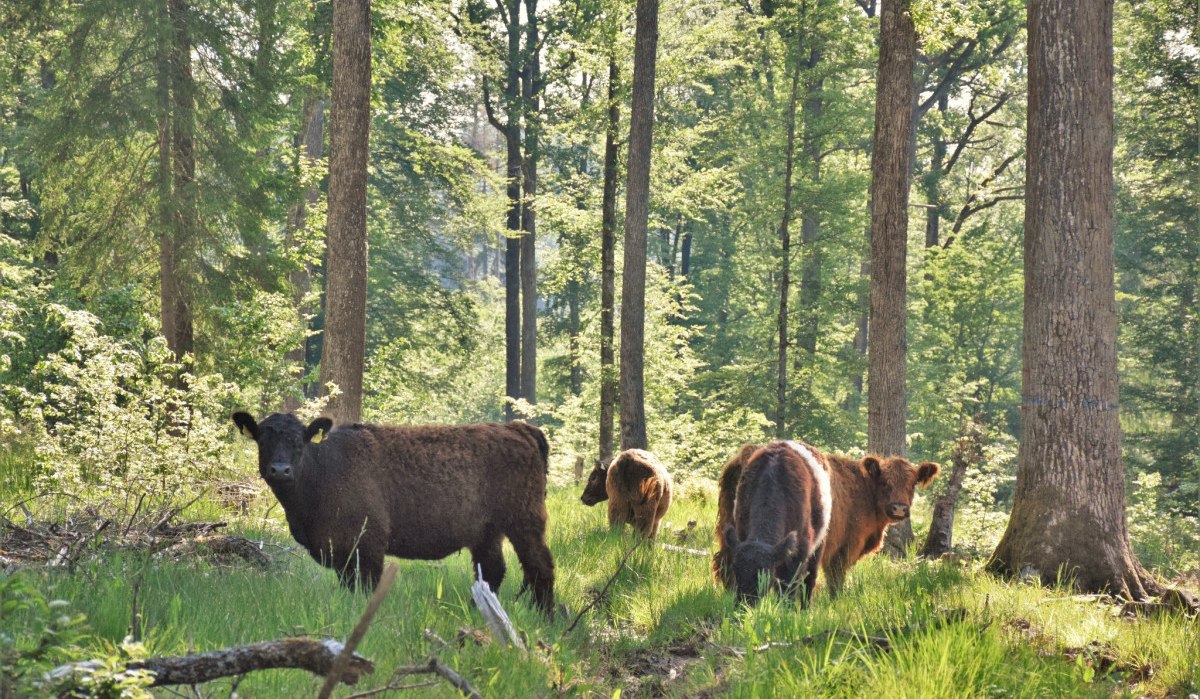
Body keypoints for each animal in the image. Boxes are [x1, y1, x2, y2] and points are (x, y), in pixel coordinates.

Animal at [231, 411, 556, 615]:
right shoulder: (343, 554)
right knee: (491, 571)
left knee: (540, 566)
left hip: (524, 522)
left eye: (299, 442)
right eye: (262, 441)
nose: (280, 470)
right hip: (487, 533)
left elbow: (366, 588)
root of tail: (518, 428)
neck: (325, 469)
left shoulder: (369, 548)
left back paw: (545, 617)